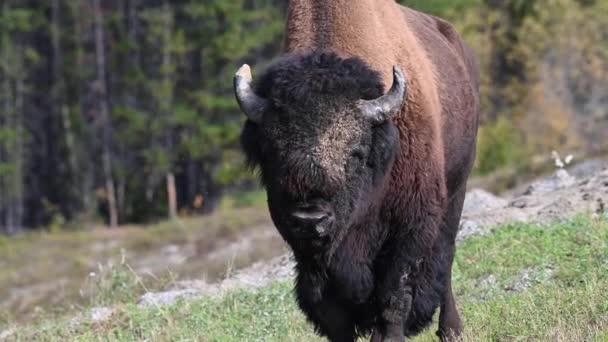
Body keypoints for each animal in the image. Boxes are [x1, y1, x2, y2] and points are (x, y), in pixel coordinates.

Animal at [233, 1, 480, 340]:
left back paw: (451, 330)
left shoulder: (409, 226)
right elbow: (333, 311)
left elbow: (394, 295)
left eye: (357, 153)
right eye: (271, 154)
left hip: (457, 187)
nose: (311, 220)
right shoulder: (308, 253)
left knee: (446, 256)